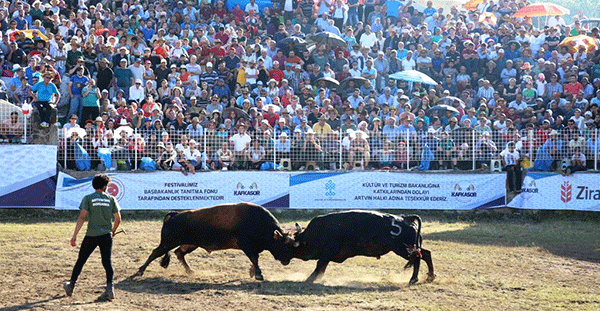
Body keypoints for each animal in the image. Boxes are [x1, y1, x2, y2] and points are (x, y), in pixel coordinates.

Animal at [135, 204, 296, 282]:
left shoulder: (253, 248)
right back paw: (140, 271)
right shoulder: (248, 247)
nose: (287, 261)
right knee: (155, 253)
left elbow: (254, 260)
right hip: (168, 242)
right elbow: (255, 259)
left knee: (179, 253)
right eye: (284, 246)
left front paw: (253, 272)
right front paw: (258, 275)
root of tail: (175, 215)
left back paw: (190, 271)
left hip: (190, 244)